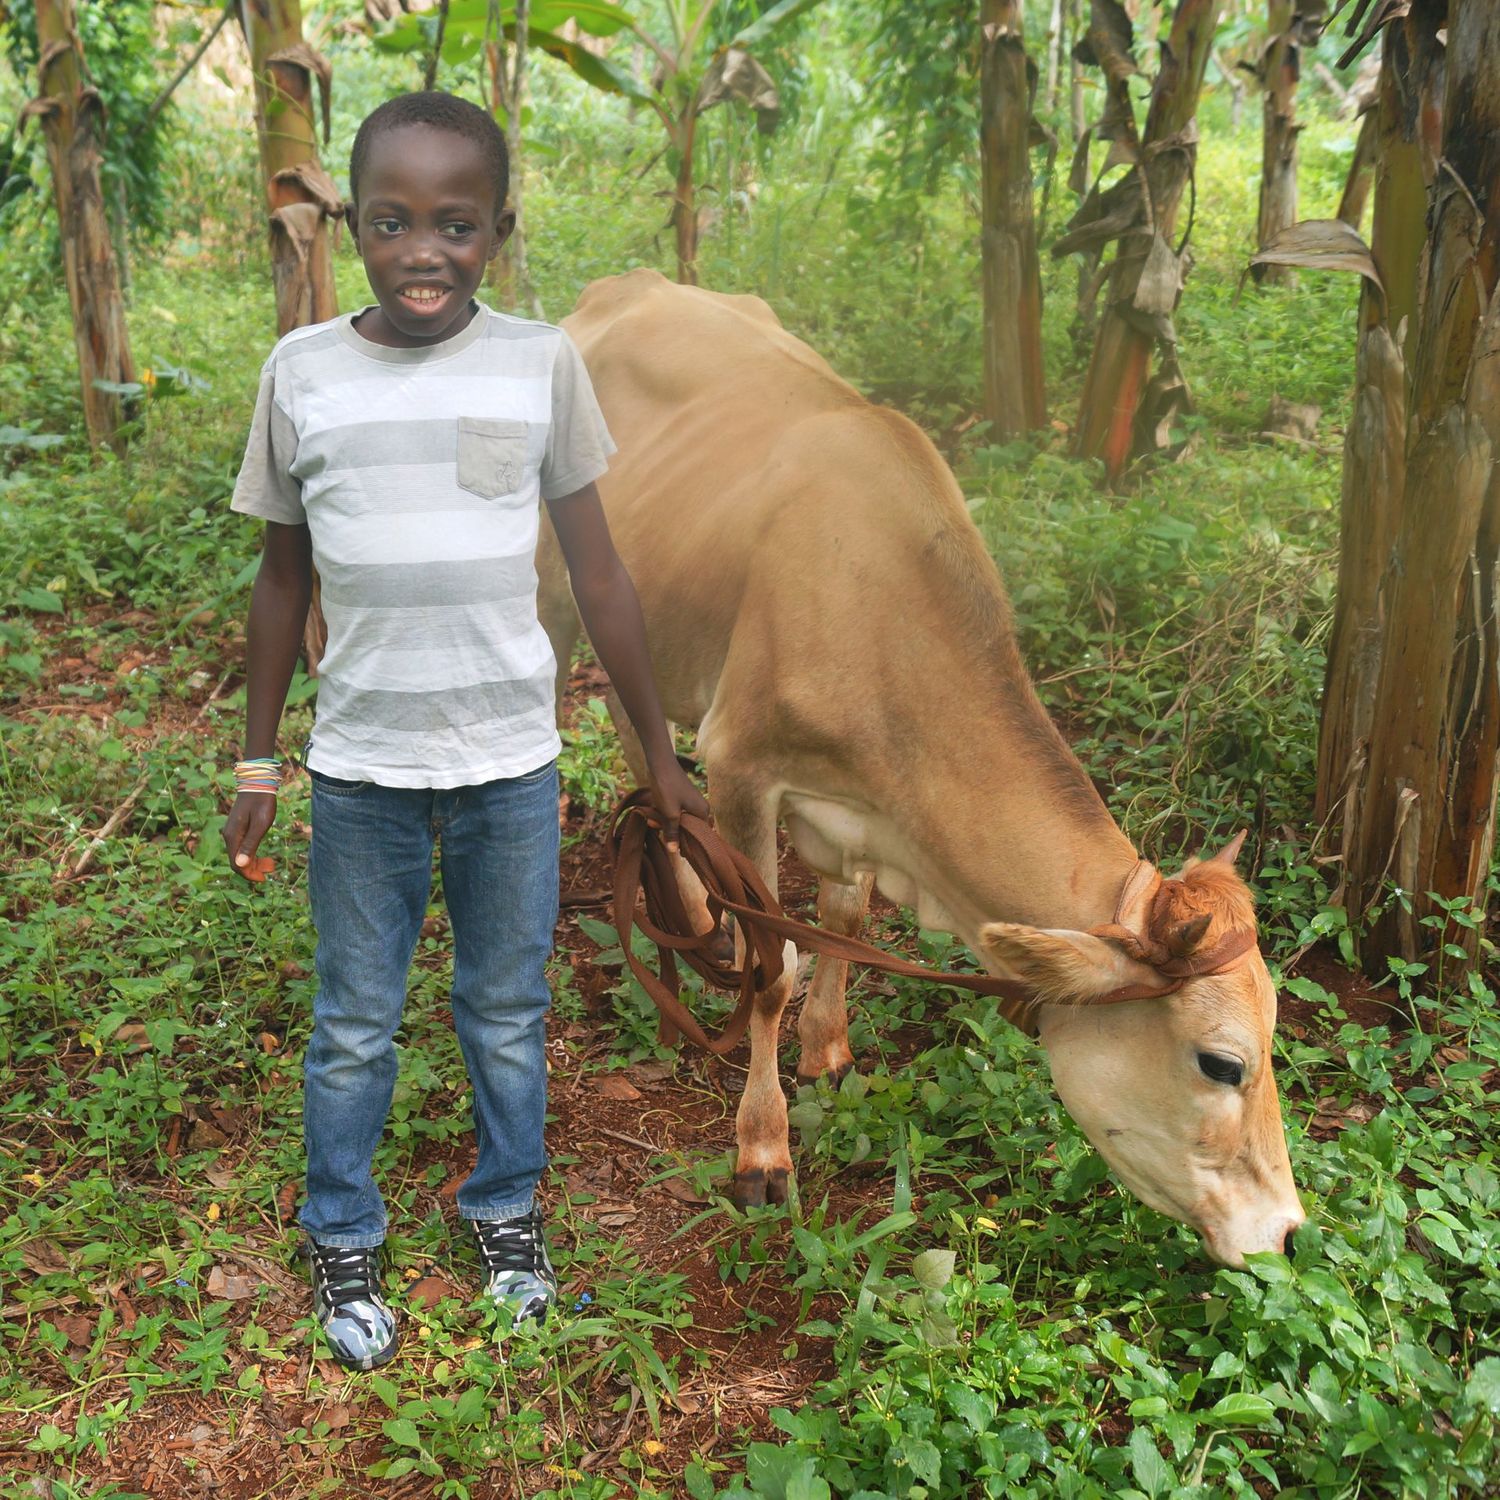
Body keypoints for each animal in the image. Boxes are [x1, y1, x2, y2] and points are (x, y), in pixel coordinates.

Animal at [540, 270, 1302, 1266]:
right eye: (1221, 1062)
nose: (1284, 1230)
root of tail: (629, 282)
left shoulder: (862, 807)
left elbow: (844, 919)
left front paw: (828, 1051)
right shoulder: (742, 763)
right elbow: (772, 966)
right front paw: (762, 1149)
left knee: (640, 735)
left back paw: (693, 906)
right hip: (552, 591)